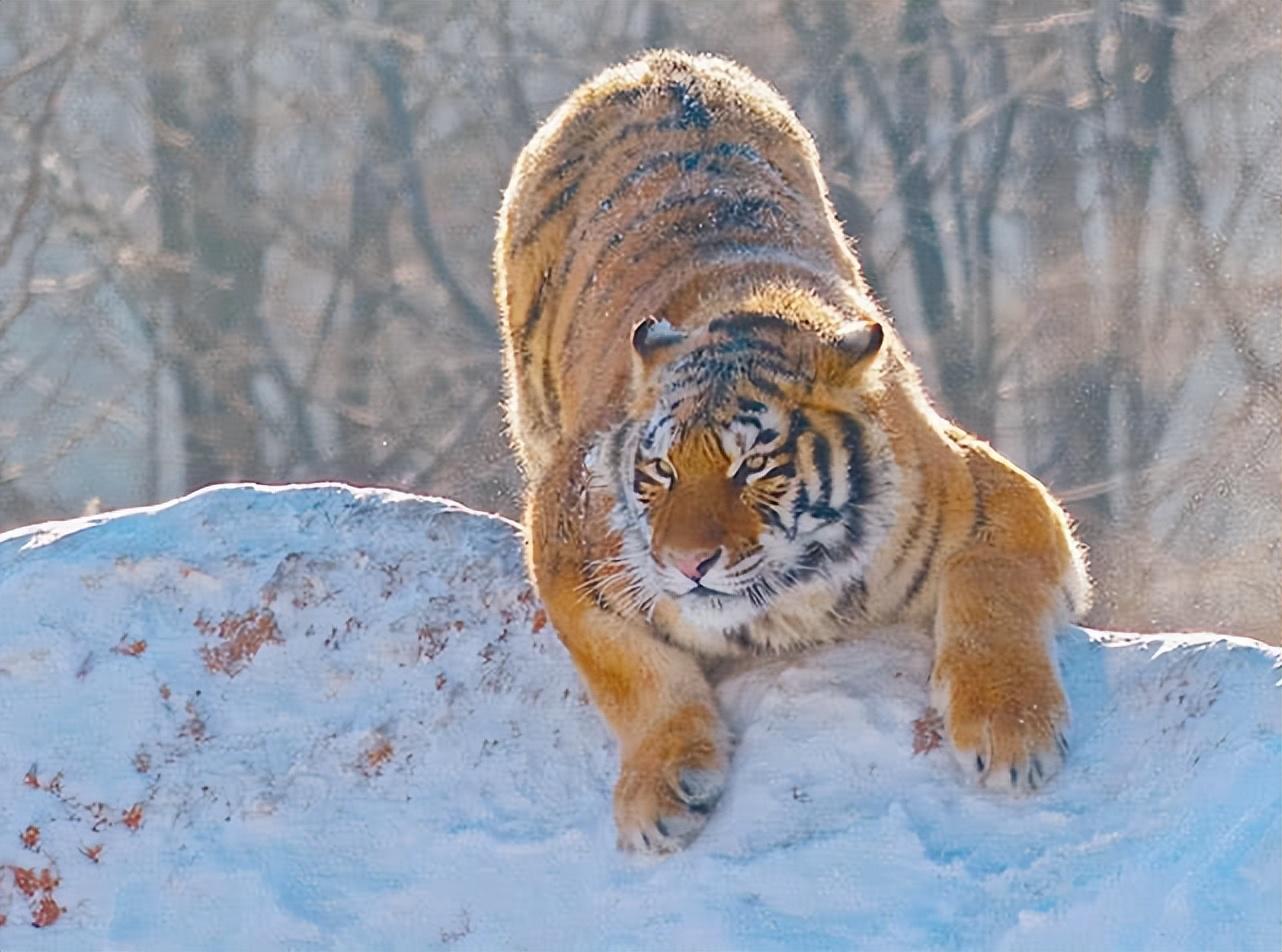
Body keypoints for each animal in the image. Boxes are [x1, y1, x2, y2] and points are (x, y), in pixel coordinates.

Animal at [494, 50, 1087, 855]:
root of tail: (654, 63)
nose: (687, 562)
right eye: (661, 470)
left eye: (753, 467)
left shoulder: (1000, 494)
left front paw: (1011, 730)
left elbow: (990, 584)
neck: (794, 600)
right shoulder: (567, 543)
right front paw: (659, 794)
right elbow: (631, 671)